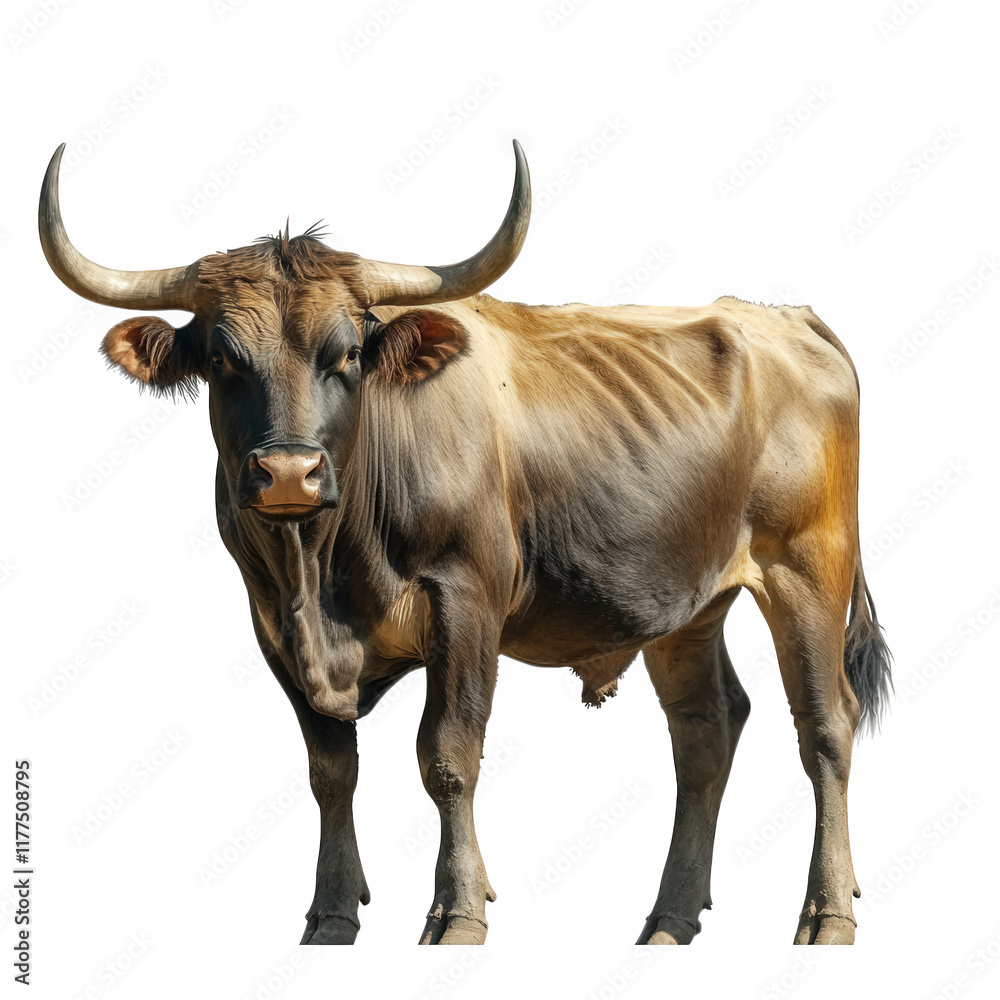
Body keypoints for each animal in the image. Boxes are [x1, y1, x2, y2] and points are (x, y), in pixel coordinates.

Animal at [39, 140, 890, 947]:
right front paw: (331, 915)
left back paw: (826, 915)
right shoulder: (271, 621)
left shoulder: (466, 602)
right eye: (221, 360)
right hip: (689, 600)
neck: (322, 572)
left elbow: (447, 756)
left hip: (807, 566)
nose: (288, 473)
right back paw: (669, 921)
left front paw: (456, 912)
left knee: (825, 726)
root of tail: (782, 316)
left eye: (347, 355)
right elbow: (330, 771)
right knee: (705, 728)